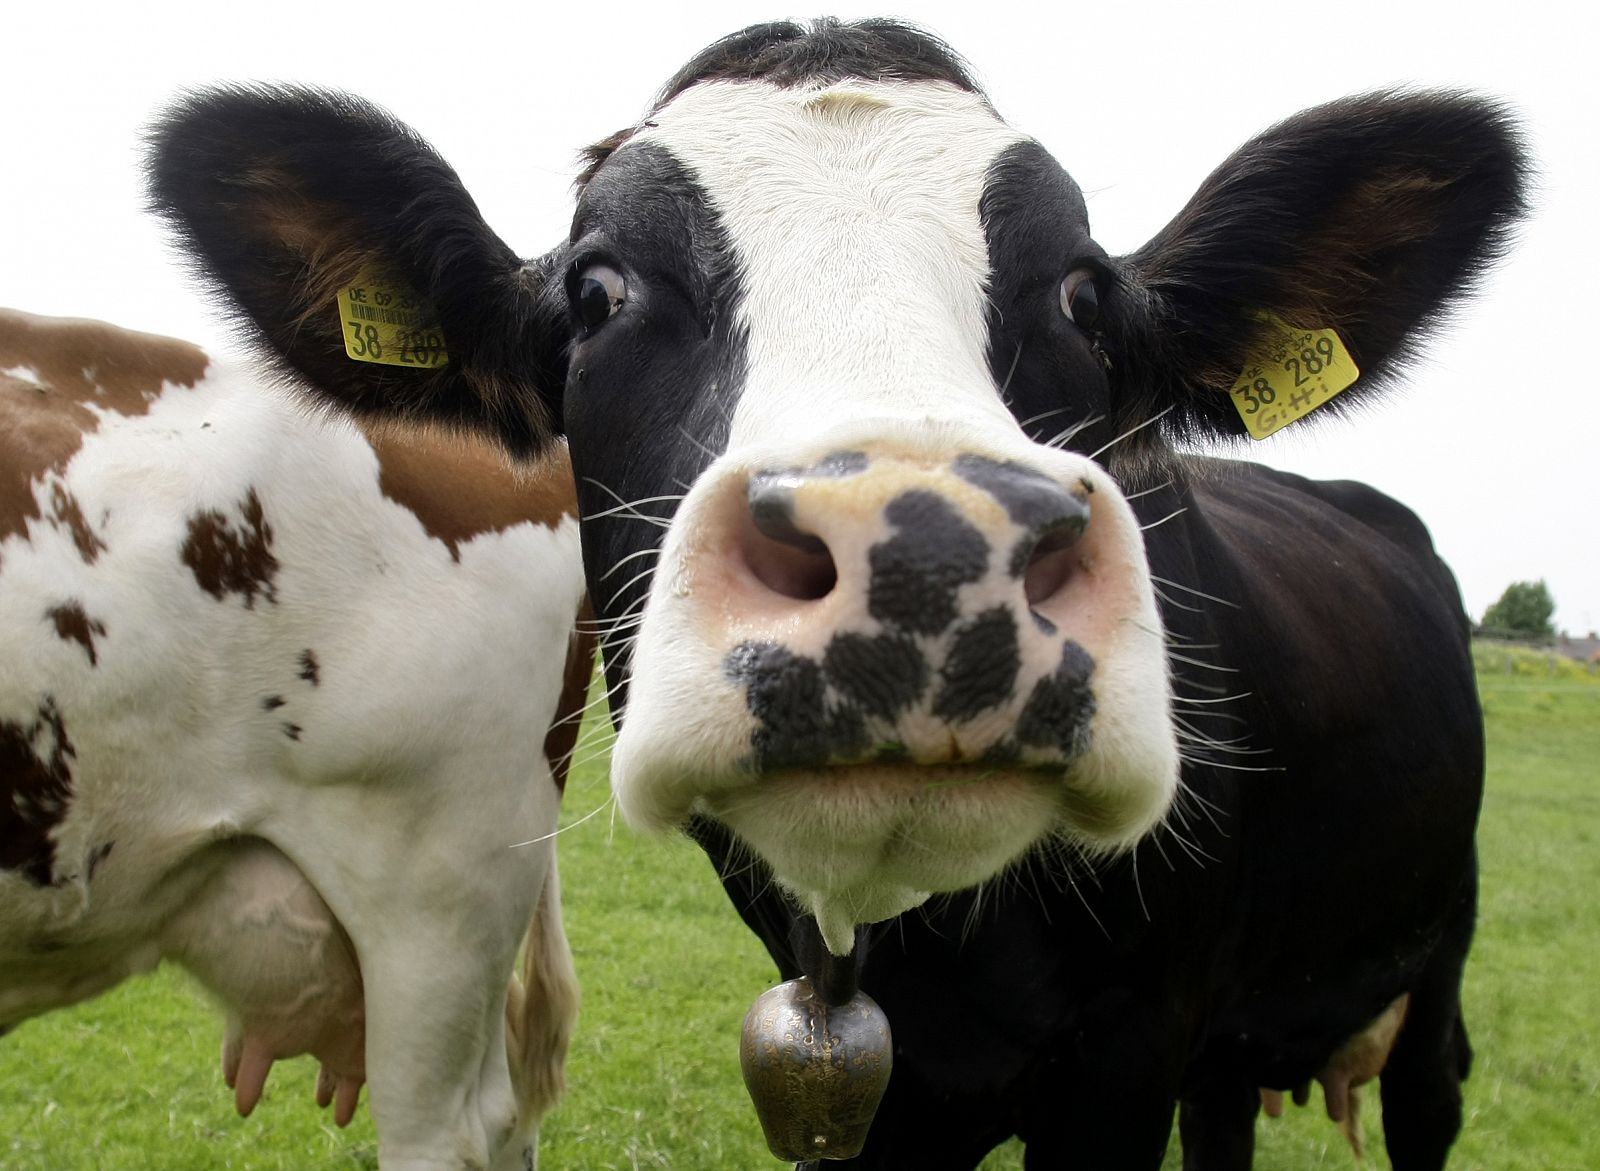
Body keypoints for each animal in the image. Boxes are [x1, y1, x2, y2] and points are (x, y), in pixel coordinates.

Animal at [147, 20, 1523, 1171]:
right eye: (597, 291)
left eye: (1082, 290)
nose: (926, 548)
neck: (940, 958)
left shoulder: (1130, 1046)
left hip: (1441, 946)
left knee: (1428, 1093)